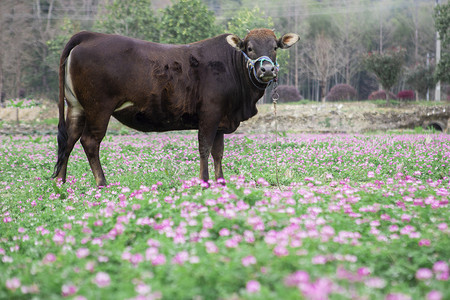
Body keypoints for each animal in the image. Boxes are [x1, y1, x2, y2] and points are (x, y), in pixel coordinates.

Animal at [51, 29, 298, 186]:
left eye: (275, 47)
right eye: (249, 47)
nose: (267, 70)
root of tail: (91, 36)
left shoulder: (221, 120)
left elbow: (218, 152)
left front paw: (221, 182)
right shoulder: (210, 114)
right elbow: (205, 148)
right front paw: (204, 181)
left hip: (76, 107)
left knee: (68, 140)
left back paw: (60, 184)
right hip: (99, 108)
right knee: (89, 141)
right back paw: (102, 182)